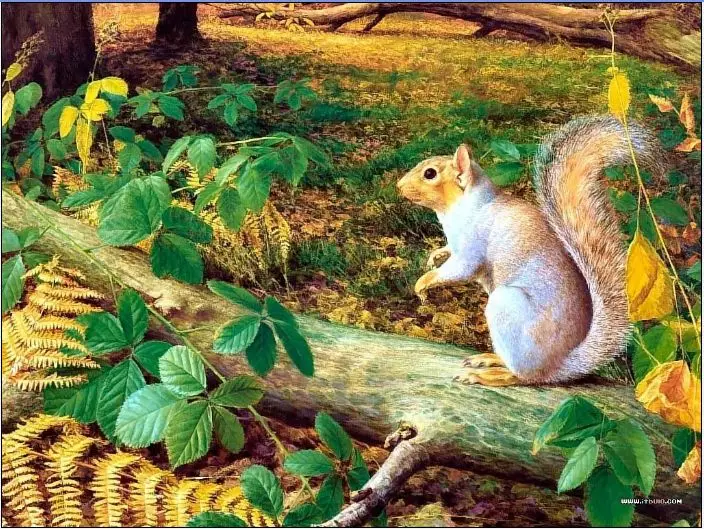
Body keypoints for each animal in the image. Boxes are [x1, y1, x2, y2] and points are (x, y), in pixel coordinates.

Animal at [397, 116, 660, 386]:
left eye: (430, 173)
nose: (398, 186)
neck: (462, 206)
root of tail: (559, 365)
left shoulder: (473, 243)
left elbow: (461, 269)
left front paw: (423, 283)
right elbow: (448, 250)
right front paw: (435, 256)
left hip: (506, 308)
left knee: (523, 377)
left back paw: (486, 375)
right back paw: (490, 359)